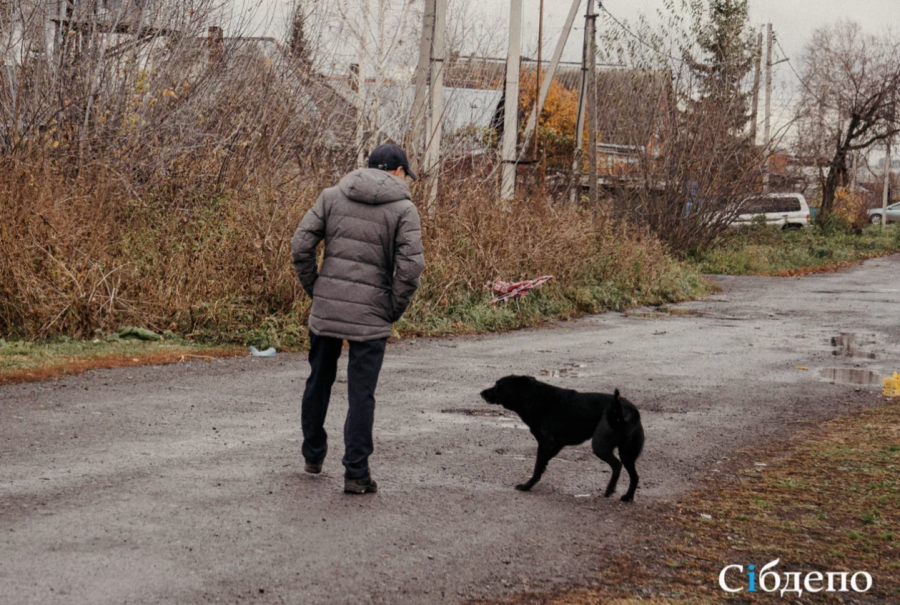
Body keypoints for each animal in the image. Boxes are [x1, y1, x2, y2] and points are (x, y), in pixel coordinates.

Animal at [482, 378, 644, 500]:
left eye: (498, 386)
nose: (481, 392)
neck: (533, 396)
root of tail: (630, 411)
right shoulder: (555, 445)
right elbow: (542, 465)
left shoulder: (545, 443)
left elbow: (537, 466)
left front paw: (527, 486)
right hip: (627, 453)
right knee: (635, 476)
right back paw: (628, 497)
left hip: (600, 445)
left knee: (617, 465)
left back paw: (610, 489)